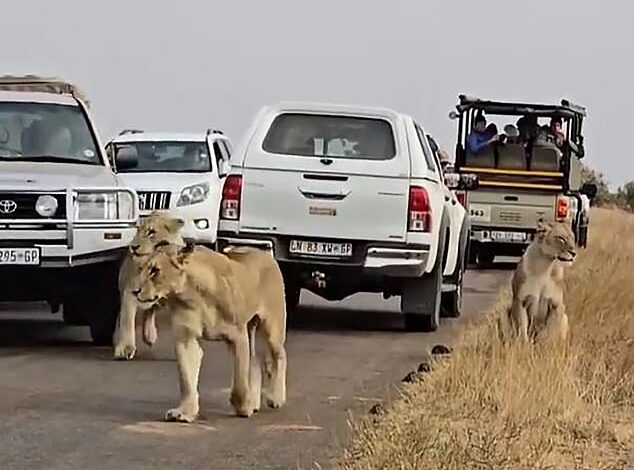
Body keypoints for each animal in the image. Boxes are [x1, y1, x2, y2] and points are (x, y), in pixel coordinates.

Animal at [112, 211, 185, 362]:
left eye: (151, 232)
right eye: (138, 230)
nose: (133, 246)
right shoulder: (129, 292)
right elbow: (127, 320)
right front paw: (125, 349)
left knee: (150, 311)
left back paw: (150, 334)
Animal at [132, 242, 288, 422]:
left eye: (155, 270)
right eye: (141, 269)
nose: (134, 291)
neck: (190, 296)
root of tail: (264, 254)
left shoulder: (237, 335)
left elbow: (240, 380)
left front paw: (243, 408)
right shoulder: (186, 337)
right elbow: (186, 379)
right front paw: (185, 412)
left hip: (272, 327)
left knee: (280, 355)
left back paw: (276, 397)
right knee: (255, 363)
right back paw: (255, 402)